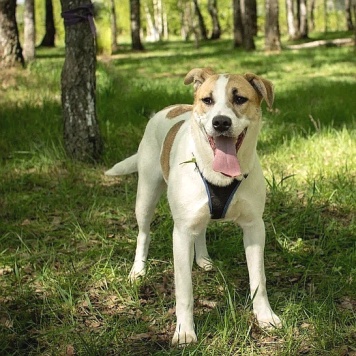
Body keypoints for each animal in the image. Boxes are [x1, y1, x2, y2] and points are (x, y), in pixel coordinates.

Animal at [105, 68, 280, 346]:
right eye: (207, 100)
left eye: (240, 98)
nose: (221, 122)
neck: (220, 175)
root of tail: (170, 108)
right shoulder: (182, 234)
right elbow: (184, 290)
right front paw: (184, 331)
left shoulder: (254, 227)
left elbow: (258, 279)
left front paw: (265, 317)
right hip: (145, 195)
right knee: (144, 233)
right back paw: (138, 270)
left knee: (202, 229)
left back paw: (203, 259)